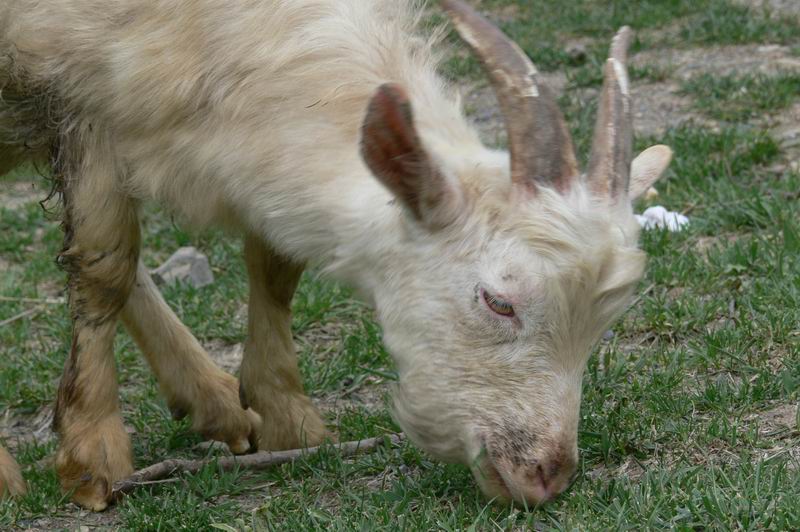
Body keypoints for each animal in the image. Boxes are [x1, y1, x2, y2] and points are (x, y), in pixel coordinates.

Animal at [0, 0, 672, 508]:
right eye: (498, 301)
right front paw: (93, 454)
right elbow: (106, 263)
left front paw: (286, 414)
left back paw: (214, 401)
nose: (545, 476)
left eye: (603, 321)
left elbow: (274, 266)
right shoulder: (81, 92)